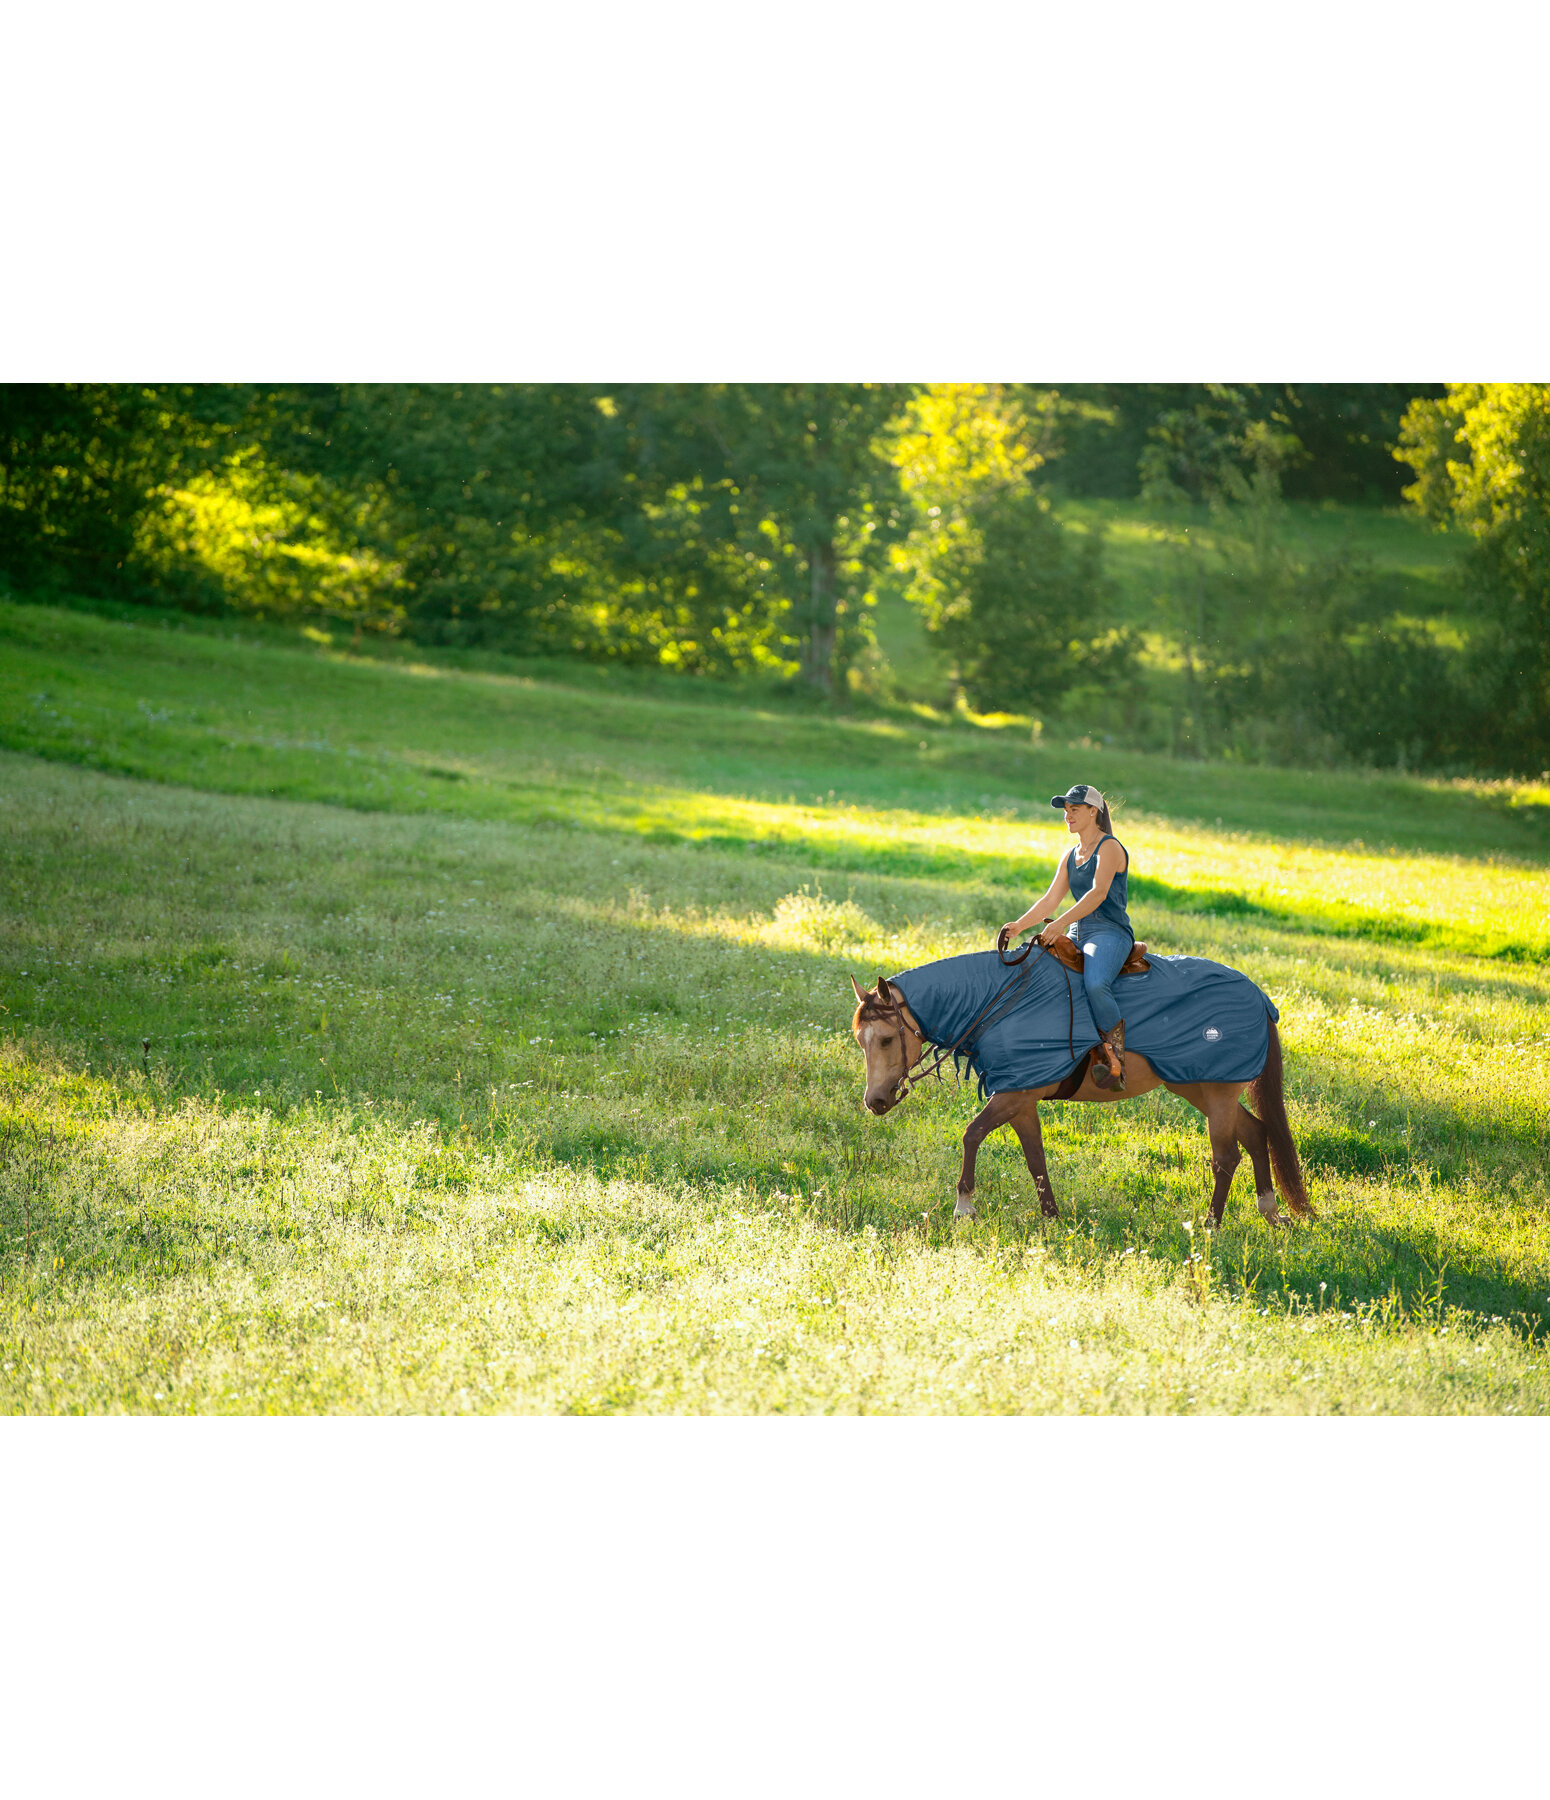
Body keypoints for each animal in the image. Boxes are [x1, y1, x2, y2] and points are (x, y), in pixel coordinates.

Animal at [846, 950, 1303, 1231]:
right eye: (860, 1041)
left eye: (884, 1039)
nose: (875, 1102)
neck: (1002, 1003)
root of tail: (1259, 997)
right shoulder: (1021, 1097)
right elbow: (1035, 1158)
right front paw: (1051, 1217)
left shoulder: (1013, 1095)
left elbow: (971, 1134)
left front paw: (964, 1207)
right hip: (1200, 1089)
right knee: (1257, 1132)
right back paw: (1270, 1211)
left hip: (1217, 1093)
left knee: (1226, 1157)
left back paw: (1211, 1225)